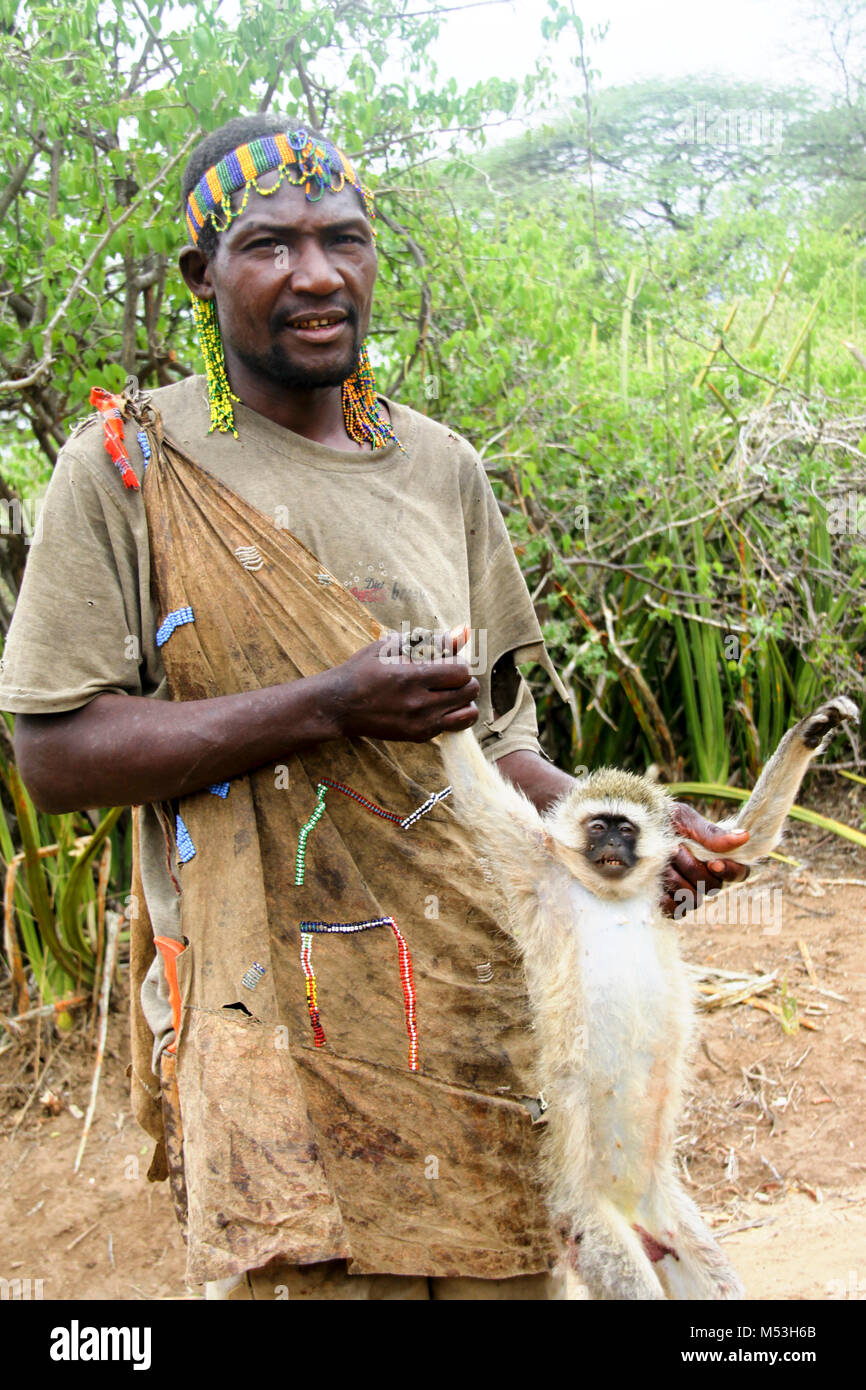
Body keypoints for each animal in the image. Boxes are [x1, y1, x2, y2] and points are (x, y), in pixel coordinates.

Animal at [433, 678, 861, 1295]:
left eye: (625, 827)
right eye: (598, 825)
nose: (611, 845)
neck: (610, 893)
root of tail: (637, 1216)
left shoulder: (669, 874)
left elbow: (746, 842)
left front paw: (813, 729)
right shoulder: (536, 866)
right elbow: (475, 789)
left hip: (673, 1219)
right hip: (589, 1226)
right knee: (623, 1270)